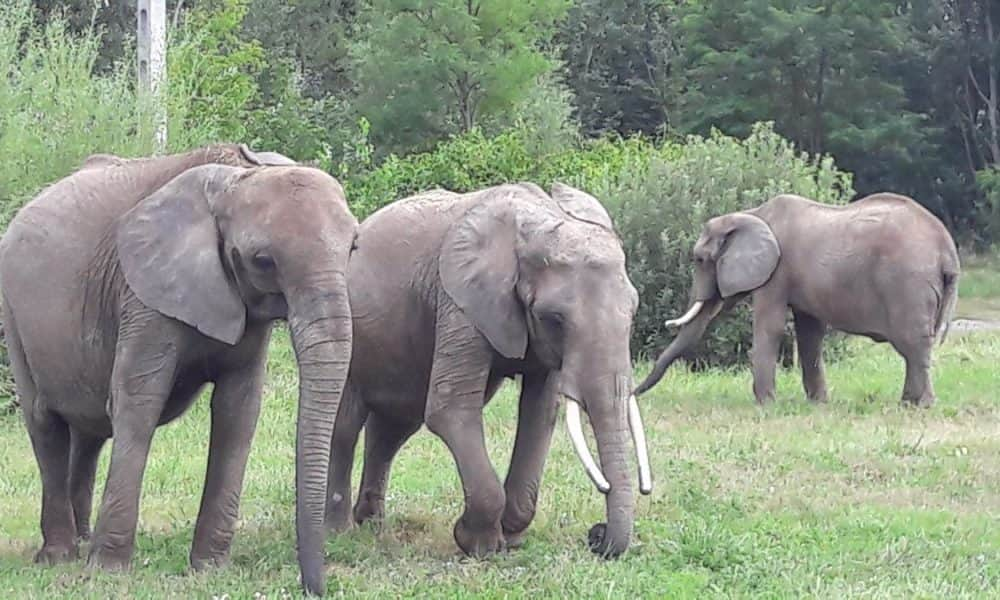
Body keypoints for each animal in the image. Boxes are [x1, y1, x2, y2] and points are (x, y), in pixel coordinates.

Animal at [0, 142, 360, 596]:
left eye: (354, 247)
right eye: (263, 261)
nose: (314, 588)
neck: (240, 175)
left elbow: (239, 409)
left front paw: (208, 569)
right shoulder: (143, 295)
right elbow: (139, 401)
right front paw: (108, 571)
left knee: (89, 430)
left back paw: (82, 540)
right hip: (14, 312)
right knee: (45, 421)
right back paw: (60, 556)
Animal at [324, 182, 652, 556]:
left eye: (634, 308)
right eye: (554, 319)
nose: (596, 535)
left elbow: (540, 412)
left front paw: (510, 536)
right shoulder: (460, 301)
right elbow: (451, 409)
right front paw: (479, 544)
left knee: (394, 428)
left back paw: (372, 525)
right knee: (346, 425)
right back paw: (338, 532)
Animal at [632, 193, 960, 408]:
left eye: (700, 260)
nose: (632, 393)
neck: (751, 213)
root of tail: (946, 249)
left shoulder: (777, 271)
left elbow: (771, 326)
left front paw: (765, 404)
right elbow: (809, 332)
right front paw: (818, 403)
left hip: (908, 284)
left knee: (912, 344)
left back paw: (916, 405)